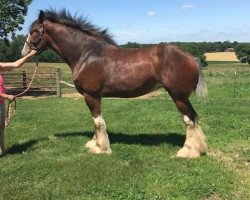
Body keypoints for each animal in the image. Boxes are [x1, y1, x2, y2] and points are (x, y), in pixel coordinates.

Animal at [21, 9, 208, 158]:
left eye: (35, 30)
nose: (24, 51)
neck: (87, 54)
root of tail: (191, 57)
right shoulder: (95, 96)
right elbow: (96, 121)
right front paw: (94, 143)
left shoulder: (91, 95)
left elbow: (98, 122)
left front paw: (101, 148)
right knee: (193, 118)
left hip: (178, 96)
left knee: (189, 119)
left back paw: (188, 151)